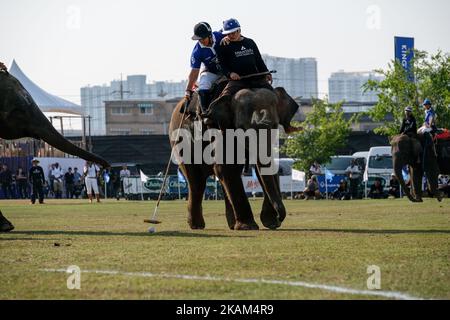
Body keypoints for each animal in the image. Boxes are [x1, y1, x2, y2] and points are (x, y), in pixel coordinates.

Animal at [171, 86, 300, 229]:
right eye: (242, 128)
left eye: (275, 126)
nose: (279, 218)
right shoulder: (220, 129)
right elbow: (225, 167)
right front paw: (248, 227)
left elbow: (269, 167)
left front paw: (269, 222)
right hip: (180, 141)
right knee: (197, 181)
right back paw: (197, 225)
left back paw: (232, 225)